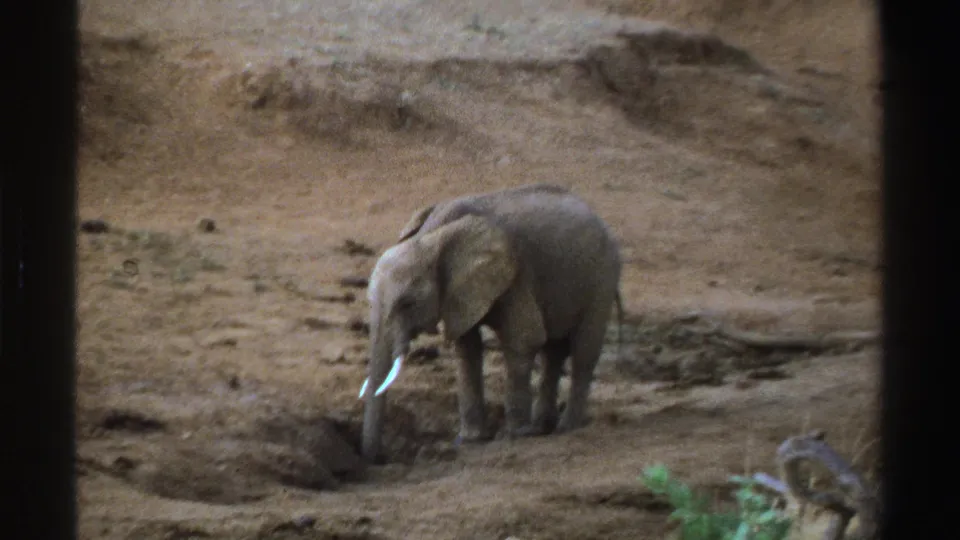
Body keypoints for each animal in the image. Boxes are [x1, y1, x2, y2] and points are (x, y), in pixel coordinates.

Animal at [357, 183, 623, 462]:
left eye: (408, 303)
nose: (378, 458)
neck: (431, 237)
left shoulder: (515, 275)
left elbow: (524, 338)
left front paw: (516, 435)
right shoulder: (458, 292)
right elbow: (466, 348)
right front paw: (471, 439)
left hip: (603, 278)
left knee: (583, 351)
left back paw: (566, 428)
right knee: (554, 352)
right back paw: (543, 427)